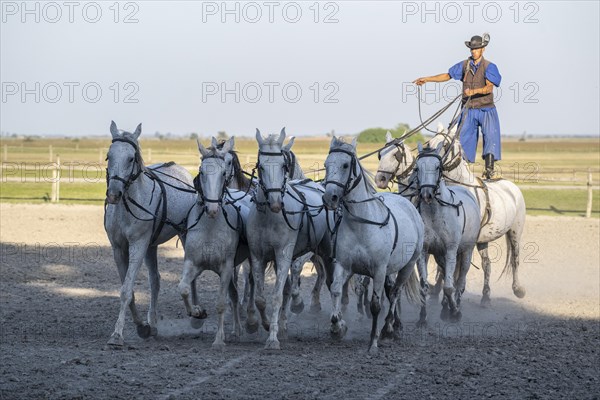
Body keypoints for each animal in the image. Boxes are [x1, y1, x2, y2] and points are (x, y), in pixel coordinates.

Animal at [104, 121, 196, 346]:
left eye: (131, 158)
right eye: (109, 156)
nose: (114, 194)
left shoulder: (138, 244)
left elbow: (126, 291)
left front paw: (117, 335)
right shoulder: (119, 249)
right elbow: (129, 290)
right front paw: (142, 326)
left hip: (184, 236)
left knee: (191, 277)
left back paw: (195, 312)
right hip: (151, 246)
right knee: (155, 280)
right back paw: (153, 323)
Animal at [178, 138, 253, 350]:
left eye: (223, 172)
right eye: (201, 171)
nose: (212, 208)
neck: (210, 226)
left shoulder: (226, 268)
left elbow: (221, 304)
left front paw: (219, 340)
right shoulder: (193, 263)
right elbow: (183, 288)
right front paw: (197, 313)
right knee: (234, 296)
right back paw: (237, 330)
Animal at [322, 137, 424, 354]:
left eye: (345, 165)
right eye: (326, 165)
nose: (329, 198)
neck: (361, 223)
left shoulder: (378, 269)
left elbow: (376, 305)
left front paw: (373, 343)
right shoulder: (344, 266)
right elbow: (335, 290)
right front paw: (337, 327)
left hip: (407, 265)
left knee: (395, 293)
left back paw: (388, 330)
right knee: (390, 290)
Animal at [414, 142, 480, 324]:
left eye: (437, 166)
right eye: (417, 167)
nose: (426, 194)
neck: (435, 214)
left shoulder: (451, 250)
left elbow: (450, 287)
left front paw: (456, 312)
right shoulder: (424, 251)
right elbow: (424, 286)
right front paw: (422, 318)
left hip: (466, 252)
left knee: (460, 281)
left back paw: (454, 306)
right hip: (440, 255)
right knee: (445, 275)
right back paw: (445, 307)